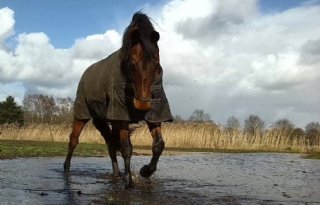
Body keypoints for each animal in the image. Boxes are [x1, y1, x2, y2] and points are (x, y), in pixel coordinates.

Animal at [63, 11, 172, 187]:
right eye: (131, 64)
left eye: (156, 63)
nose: (142, 105)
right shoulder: (121, 116)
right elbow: (127, 148)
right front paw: (129, 181)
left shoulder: (154, 115)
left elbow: (158, 145)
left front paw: (145, 171)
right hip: (82, 114)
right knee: (74, 140)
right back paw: (66, 169)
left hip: (104, 120)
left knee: (111, 144)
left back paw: (116, 174)